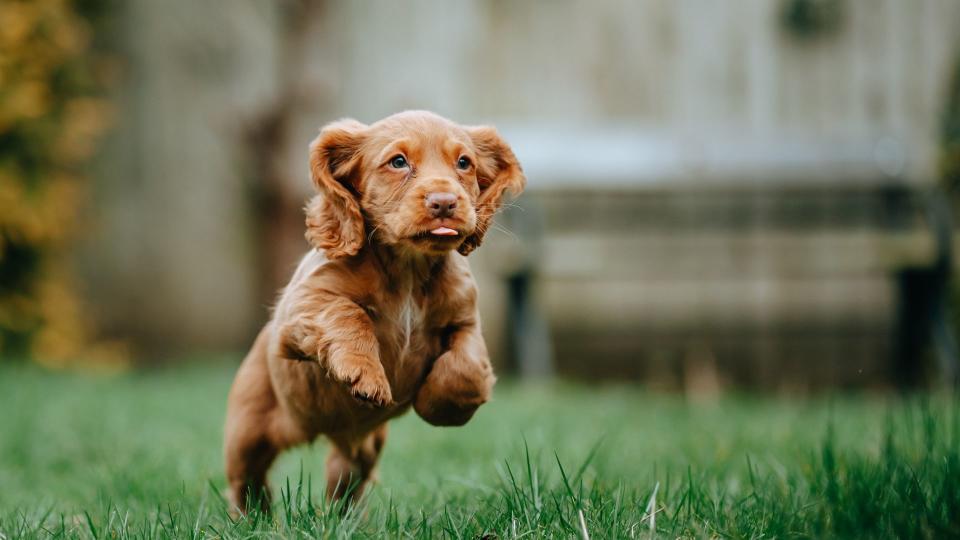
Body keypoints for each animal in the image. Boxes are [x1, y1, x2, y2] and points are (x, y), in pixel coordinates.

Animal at [224, 108, 524, 510]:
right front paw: (364, 375)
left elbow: (466, 368)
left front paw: (439, 406)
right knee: (246, 480)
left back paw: (339, 517)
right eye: (398, 162)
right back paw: (254, 515)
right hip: (247, 431)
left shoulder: (465, 321)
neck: (409, 267)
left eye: (464, 163)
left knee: (344, 477)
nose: (445, 202)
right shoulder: (304, 305)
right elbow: (349, 314)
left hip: (362, 448)